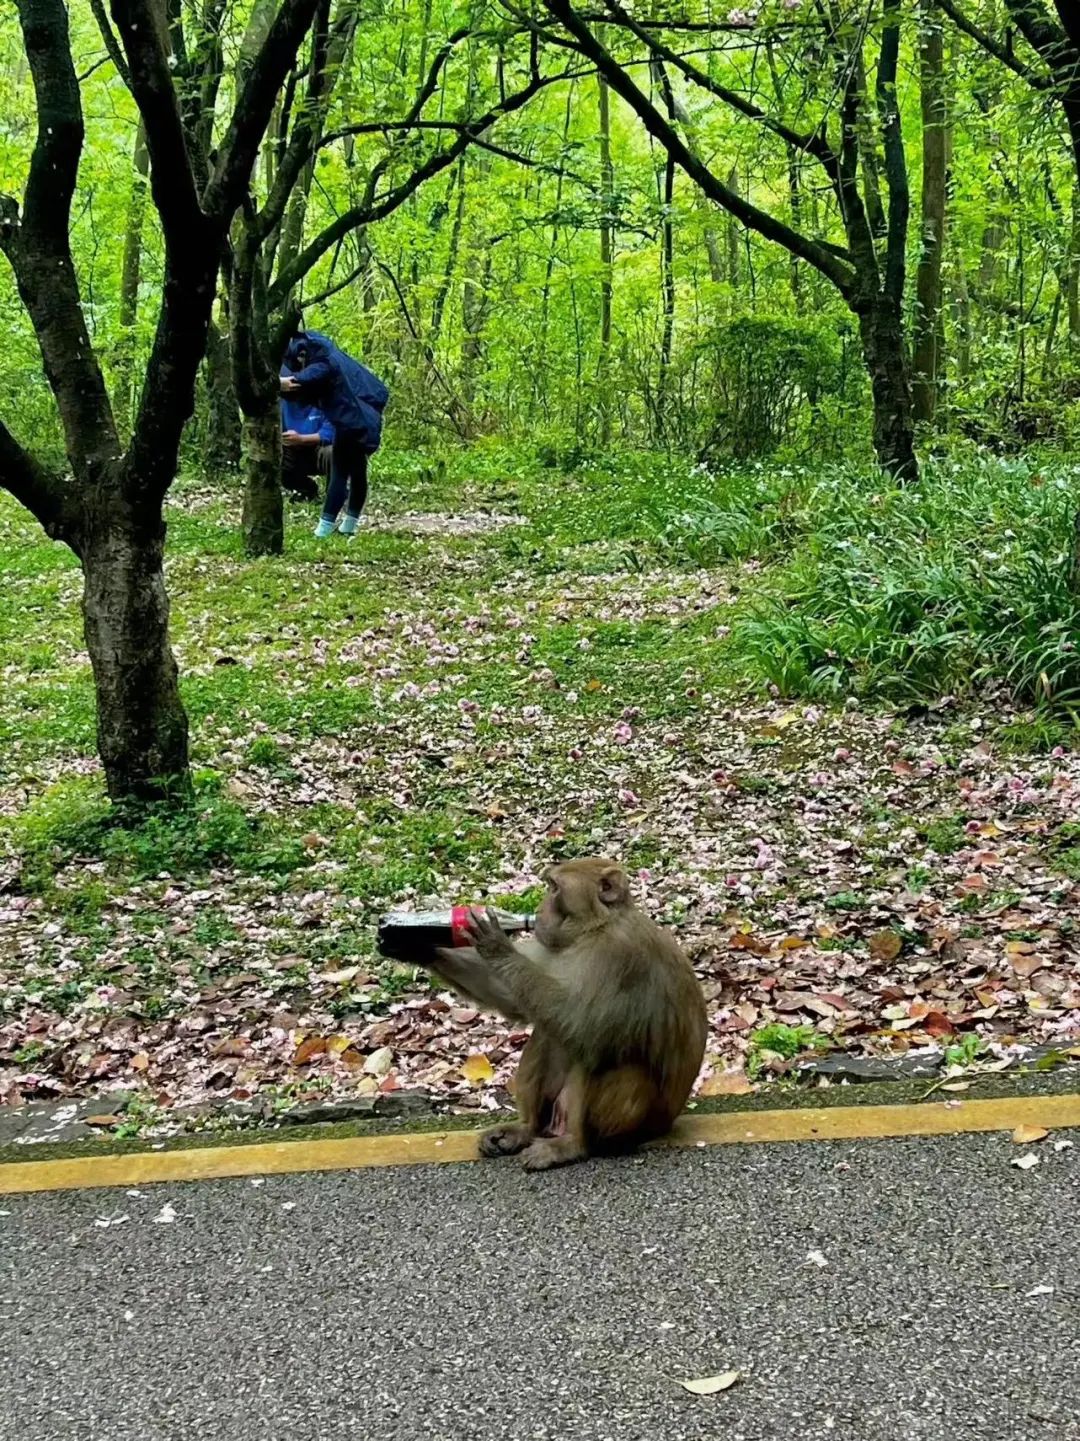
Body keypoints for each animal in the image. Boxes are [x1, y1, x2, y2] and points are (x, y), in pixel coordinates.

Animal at [429, 853, 706, 1170]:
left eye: (554, 888)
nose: (539, 909)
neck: (594, 930)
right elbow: (514, 997)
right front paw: (417, 945)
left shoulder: (620, 956)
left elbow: (585, 1028)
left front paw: (496, 946)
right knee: (546, 1034)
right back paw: (526, 1129)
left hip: (642, 1124)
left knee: (607, 1055)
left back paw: (574, 1145)